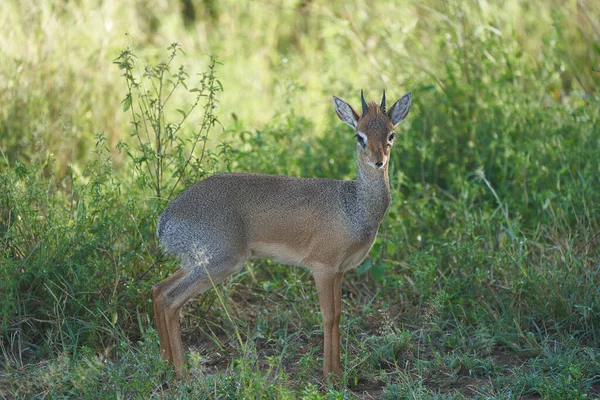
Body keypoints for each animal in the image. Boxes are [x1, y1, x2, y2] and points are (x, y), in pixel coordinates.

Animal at [152, 90, 410, 382]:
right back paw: (183, 373)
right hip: (221, 263)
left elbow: (339, 315)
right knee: (171, 300)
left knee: (158, 290)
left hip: (195, 263)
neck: (354, 207)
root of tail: (165, 220)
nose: (379, 161)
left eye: (391, 134)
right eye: (360, 136)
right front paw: (329, 375)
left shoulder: (341, 270)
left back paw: (165, 364)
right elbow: (328, 316)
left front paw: (340, 372)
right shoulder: (322, 267)